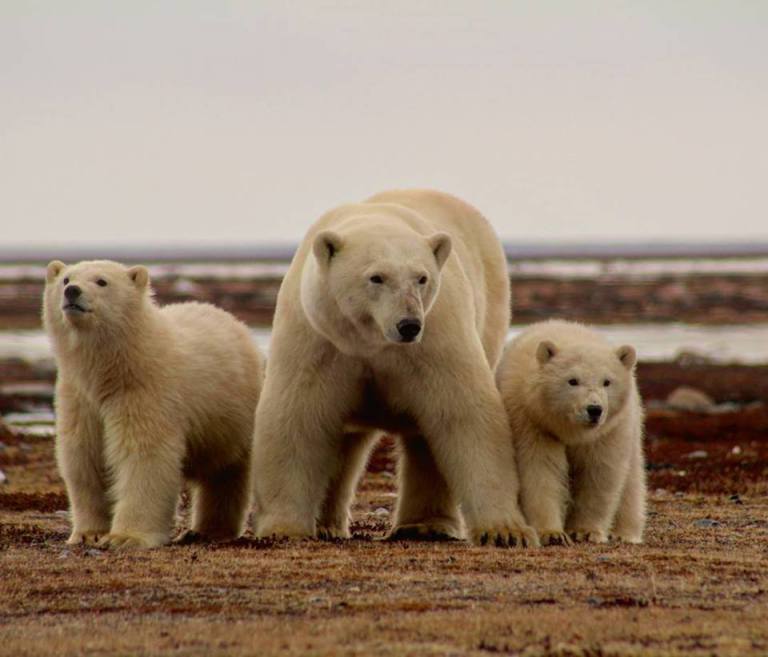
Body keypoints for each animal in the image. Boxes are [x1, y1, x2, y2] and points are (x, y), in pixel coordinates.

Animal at [252, 188, 536, 544]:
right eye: (376, 277)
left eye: (421, 278)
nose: (408, 325)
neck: (370, 340)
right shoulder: (319, 340)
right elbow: (297, 418)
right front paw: (283, 529)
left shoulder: (435, 339)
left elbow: (464, 413)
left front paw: (505, 532)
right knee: (345, 442)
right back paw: (329, 526)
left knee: (426, 438)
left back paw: (425, 525)